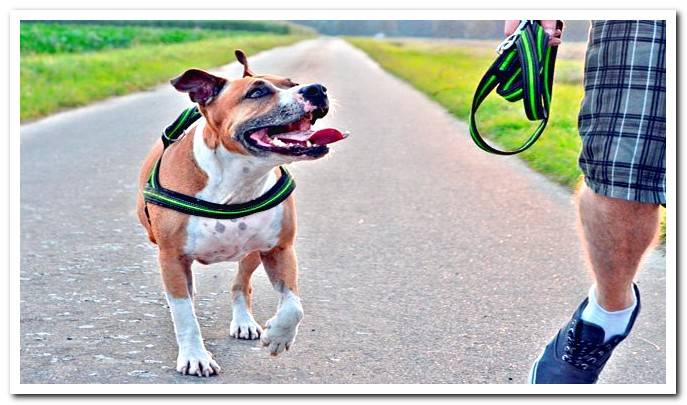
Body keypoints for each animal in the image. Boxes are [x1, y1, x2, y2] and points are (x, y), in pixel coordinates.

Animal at [136, 49, 346, 376]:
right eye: (256, 92)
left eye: (292, 83)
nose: (316, 89)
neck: (238, 179)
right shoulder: (171, 257)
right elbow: (184, 313)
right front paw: (195, 356)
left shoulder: (280, 248)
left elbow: (293, 305)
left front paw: (278, 335)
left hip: (251, 253)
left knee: (240, 285)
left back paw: (244, 322)